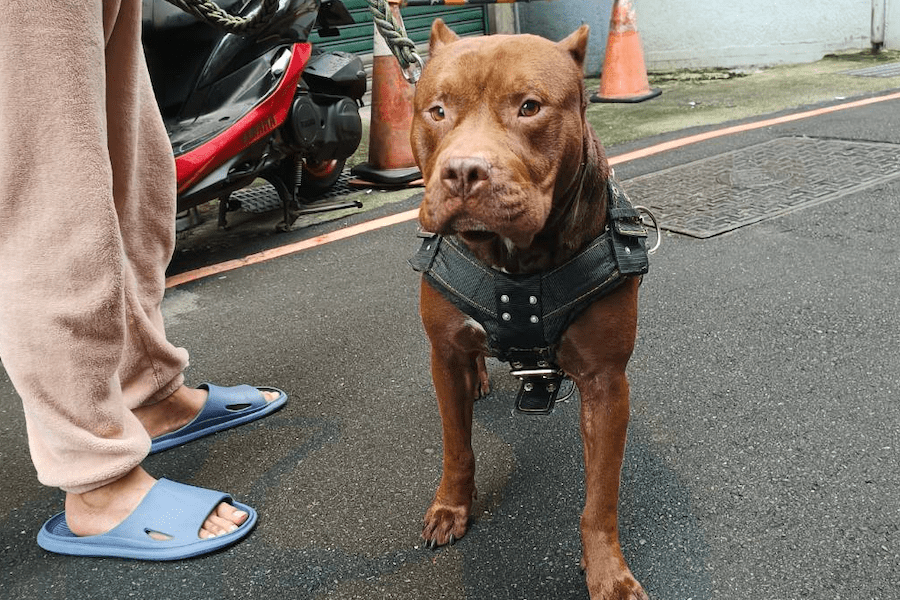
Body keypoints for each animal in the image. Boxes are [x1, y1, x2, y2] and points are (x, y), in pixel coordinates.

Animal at [412, 18, 652, 600]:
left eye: (529, 107)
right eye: (437, 110)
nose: (464, 171)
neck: (515, 261)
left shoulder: (606, 382)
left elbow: (600, 496)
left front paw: (607, 571)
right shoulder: (443, 353)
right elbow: (456, 446)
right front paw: (451, 508)